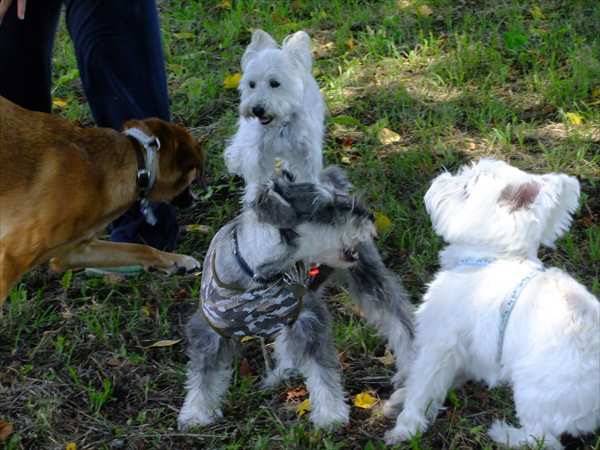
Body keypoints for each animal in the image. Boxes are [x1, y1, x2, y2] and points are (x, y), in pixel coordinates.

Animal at [178, 167, 378, 429]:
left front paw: (331, 414)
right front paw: (196, 412)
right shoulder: (208, 331)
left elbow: (322, 373)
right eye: (325, 210)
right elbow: (203, 375)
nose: (370, 216)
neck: (257, 274)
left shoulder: (308, 319)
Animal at [224, 29, 415, 388]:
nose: (256, 109)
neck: (279, 126)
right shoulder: (257, 153)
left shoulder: (306, 153)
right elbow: (255, 179)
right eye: (251, 84)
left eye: (274, 83)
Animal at [384, 159, 600, 449]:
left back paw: (503, 433)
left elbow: (424, 387)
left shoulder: (440, 343)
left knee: (542, 438)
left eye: (465, 189)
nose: (439, 178)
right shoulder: (469, 350)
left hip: (533, 392)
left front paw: (404, 427)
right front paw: (401, 396)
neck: (489, 258)